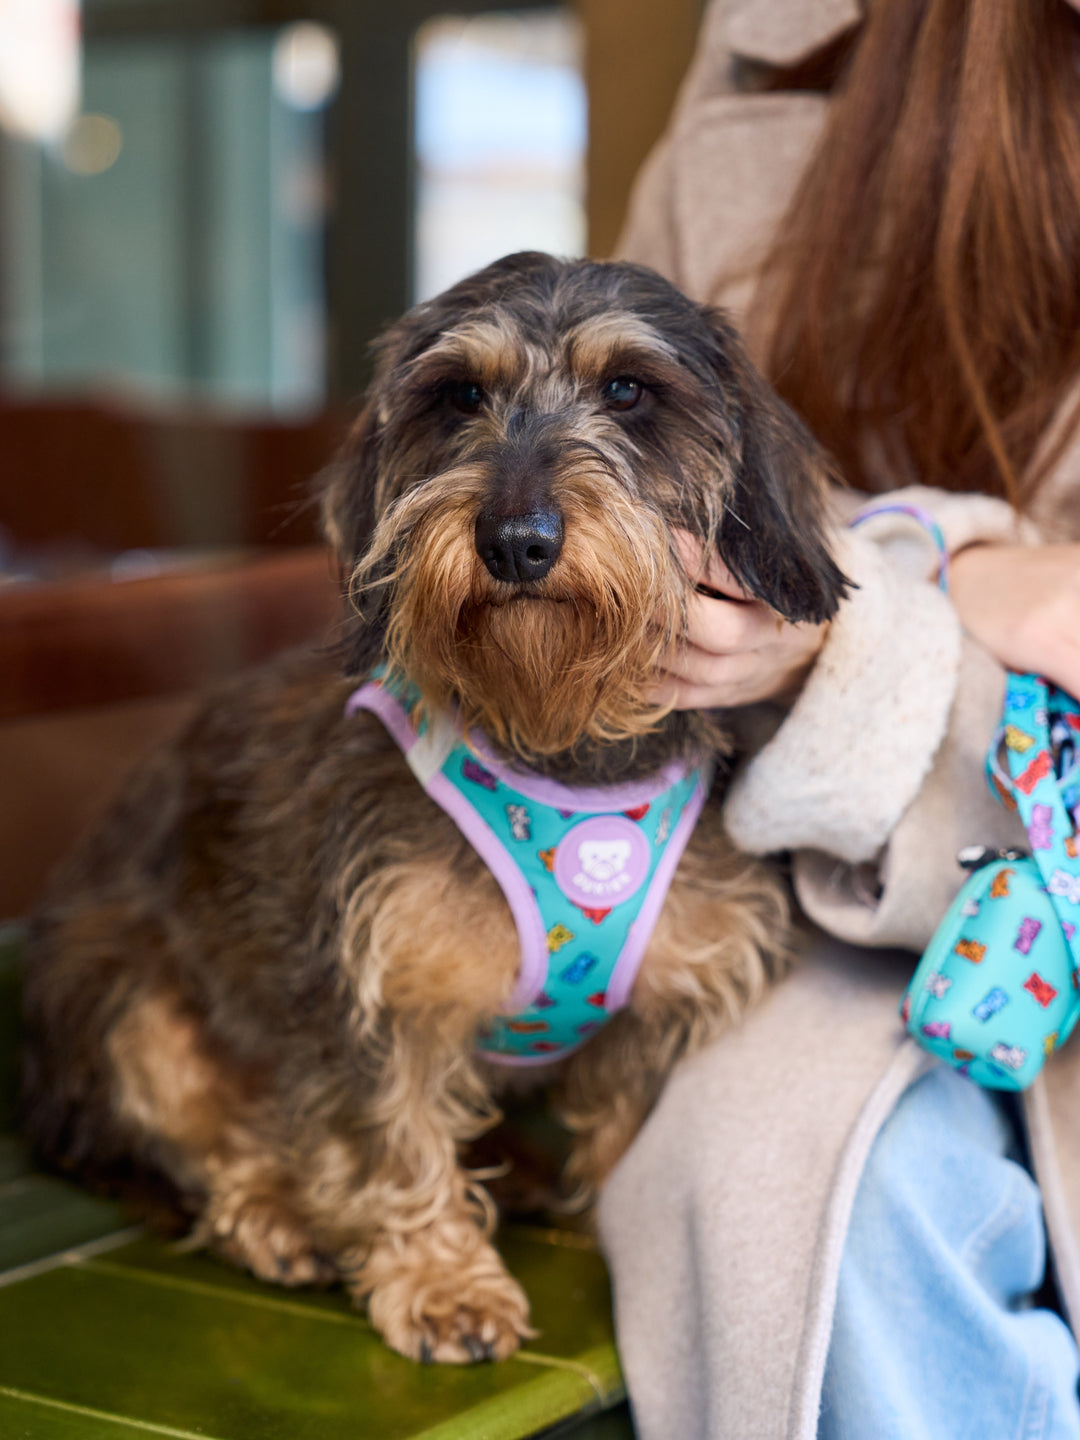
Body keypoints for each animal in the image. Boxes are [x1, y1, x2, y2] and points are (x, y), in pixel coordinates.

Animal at [14, 253, 846, 1365]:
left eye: (629, 391)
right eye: (459, 397)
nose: (516, 542)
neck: (559, 740)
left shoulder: (668, 995)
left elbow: (624, 1123)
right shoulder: (366, 988)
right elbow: (387, 1134)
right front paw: (440, 1280)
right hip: (122, 1001)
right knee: (202, 1135)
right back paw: (272, 1213)